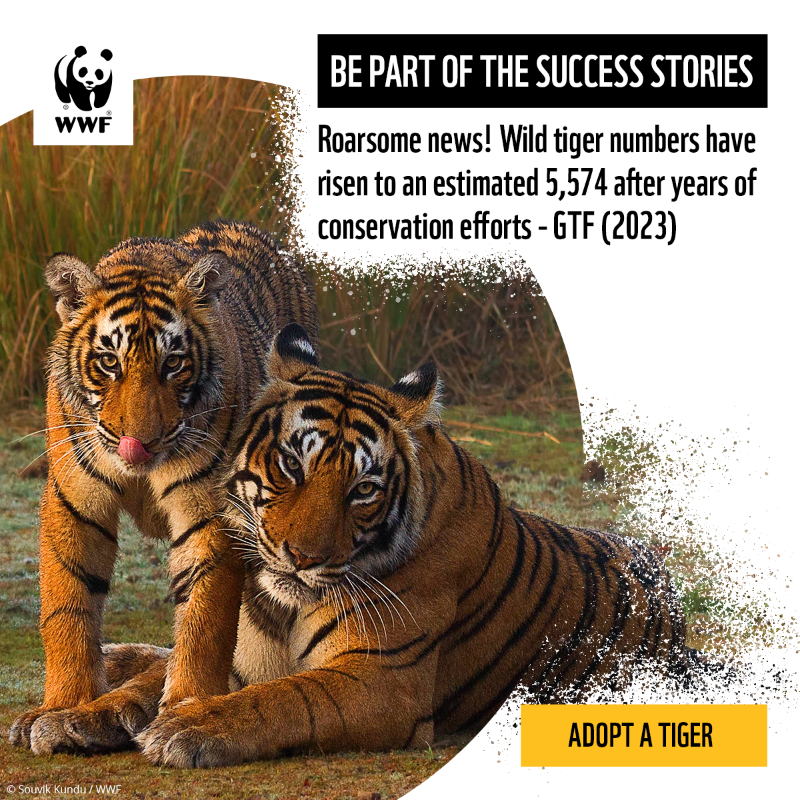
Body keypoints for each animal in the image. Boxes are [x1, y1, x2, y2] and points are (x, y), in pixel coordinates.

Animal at [9, 222, 319, 755]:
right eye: (109, 362)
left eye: (173, 364)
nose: (141, 442)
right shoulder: (74, 499)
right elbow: (67, 605)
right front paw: (62, 706)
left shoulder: (209, 509)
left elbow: (205, 617)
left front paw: (188, 704)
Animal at [25, 323, 697, 767]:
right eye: (292, 465)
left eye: (364, 490)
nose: (303, 558)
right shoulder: (241, 654)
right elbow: (155, 684)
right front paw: (71, 717)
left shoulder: (380, 681)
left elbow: (280, 699)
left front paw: (186, 726)